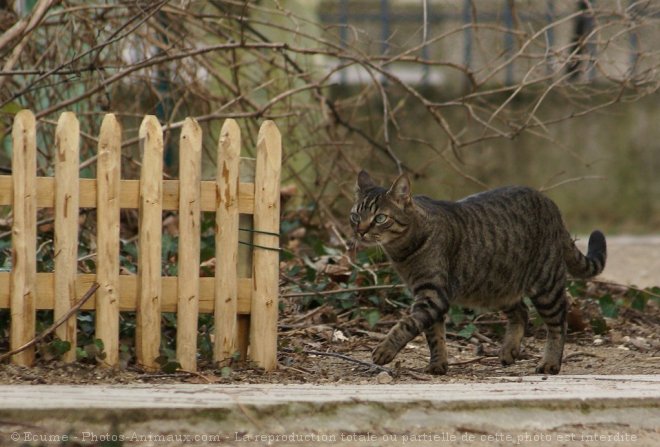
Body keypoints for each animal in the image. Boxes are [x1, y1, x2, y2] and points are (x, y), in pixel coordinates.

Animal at [350, 171, 608, 374]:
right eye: (355, 215)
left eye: (380, 218)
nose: (360, 231)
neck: (402, 252)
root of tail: (550, 203)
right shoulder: (428, 296)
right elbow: (434, 334)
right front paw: (438, 365)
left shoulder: (433, 295)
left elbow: (407, 323)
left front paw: (385, 350)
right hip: (497, 284)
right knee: (521, 312)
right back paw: (509, 351)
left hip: (545, 284)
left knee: (558, 322)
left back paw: (550, 363)